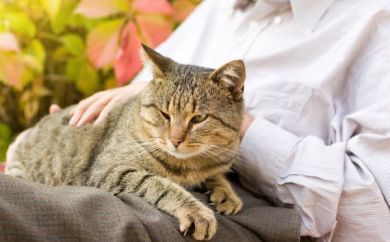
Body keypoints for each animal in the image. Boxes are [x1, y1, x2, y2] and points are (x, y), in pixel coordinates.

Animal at [5, 45, 244, 240]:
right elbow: (159, 184)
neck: (190, 165)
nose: (175, 140)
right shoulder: (108, 170)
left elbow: (216, 175)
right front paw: (197, 211)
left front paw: (226, 193)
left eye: (199, 118)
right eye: (164, 114)